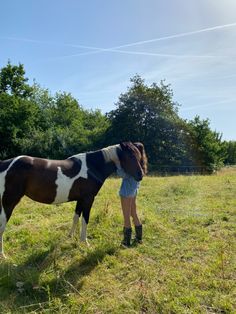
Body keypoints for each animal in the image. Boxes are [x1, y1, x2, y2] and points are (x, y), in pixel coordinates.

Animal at [0, 142, 144, 258]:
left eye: (139, 156)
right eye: (130, 156)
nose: (141, 175)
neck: (93, 166)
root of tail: (5, 164)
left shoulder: (80, 200)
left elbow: (76, 217)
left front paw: (70, 237)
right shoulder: (88, 199)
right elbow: (85, 219)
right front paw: (84, 242)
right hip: (8, 203)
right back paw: (3, 256)